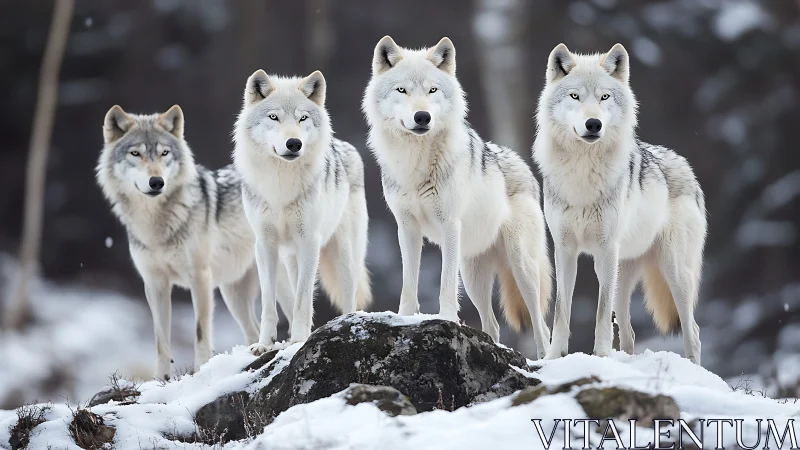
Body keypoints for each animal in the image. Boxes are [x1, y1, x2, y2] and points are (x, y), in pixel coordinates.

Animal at [96, 104, 295, 380]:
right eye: (135, 153)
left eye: (164, 153)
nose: (157, 182)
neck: (156, 226)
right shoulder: (155, 283)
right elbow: (160, 339)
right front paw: (161, 380)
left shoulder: (200, 277)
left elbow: (201, 331)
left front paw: (201, 370)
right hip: (233, 295)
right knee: (253, 330)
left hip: (274, 285)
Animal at [234, 69, 372, 355]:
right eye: (273, 117)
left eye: (302, 118)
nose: (294, 143)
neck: (280, 185)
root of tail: (346, 146)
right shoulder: (265, 244)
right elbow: (268, 302)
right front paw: (264, 344)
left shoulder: (309, 241)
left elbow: (302, 298)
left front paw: (298, 340)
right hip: (290, 258)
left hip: (343, 253)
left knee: (349, 294)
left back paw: (347, 323)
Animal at [363, 36, 553, 357]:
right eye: (402, 90)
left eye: (432, 90)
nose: (422, 116)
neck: (416, 162)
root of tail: (524, 166)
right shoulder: (407, 228)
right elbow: (408, 283)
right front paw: (403, 319)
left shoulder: (449, 225)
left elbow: (444, 284)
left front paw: (447, 319)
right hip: (474, 276)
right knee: (493, 325)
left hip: (521, 267)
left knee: (541, 324)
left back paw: (545, 359)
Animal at [533, 43, 707, 364]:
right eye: (575, 96)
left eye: (604, 97)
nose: (593, 124)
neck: (582, 173)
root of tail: (684, 163)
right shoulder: (565, 249)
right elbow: (561, 310)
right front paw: (553, 357)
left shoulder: (605, 248)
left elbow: (601, 313)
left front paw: (600, 356)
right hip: (621, 274)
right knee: (629, 331)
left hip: (672, 271)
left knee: (694, 331)